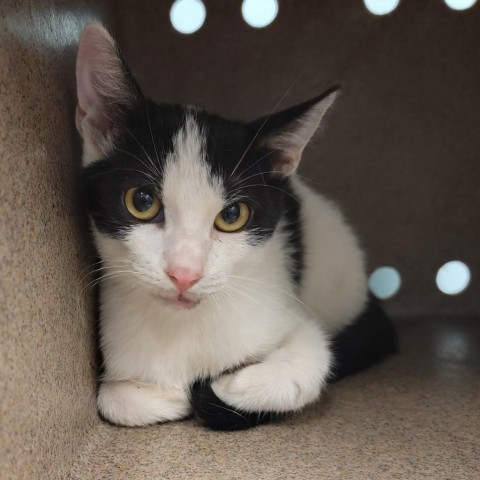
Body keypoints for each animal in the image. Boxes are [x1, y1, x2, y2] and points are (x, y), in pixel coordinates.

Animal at [76, 22, 398, 432]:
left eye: (232, 216)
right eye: (142, 202)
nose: (184, 273)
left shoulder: (295, 321)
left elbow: (307, 363)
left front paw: (232, 384)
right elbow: (116, 399)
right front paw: (168, 397)